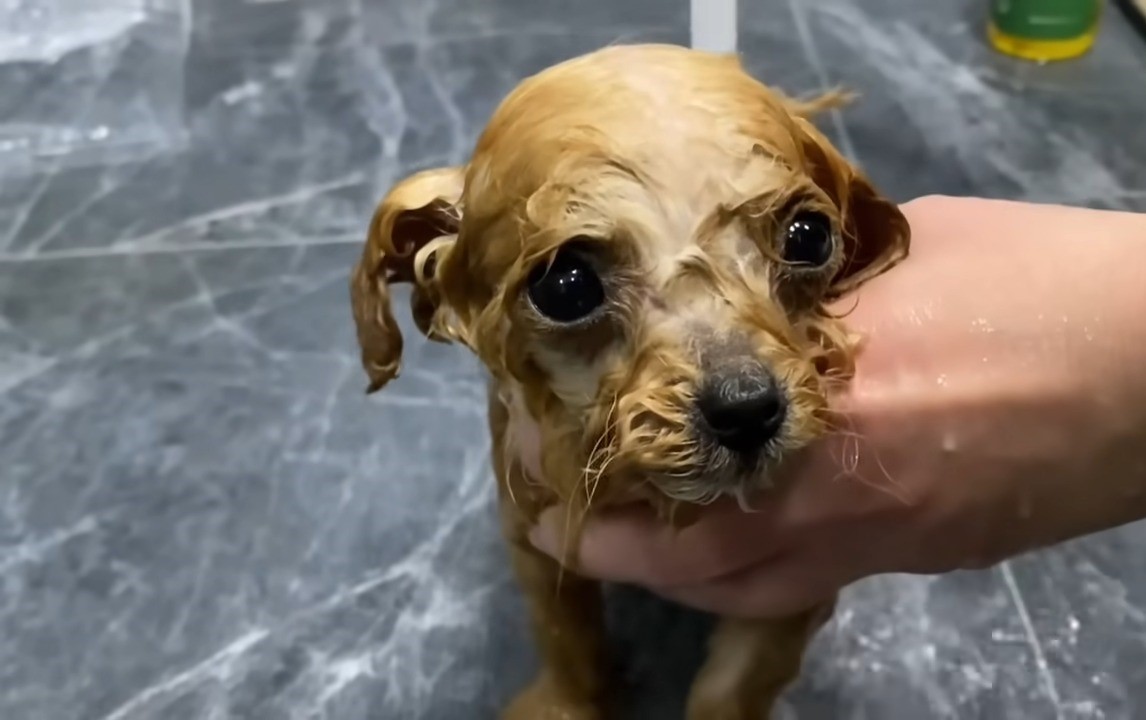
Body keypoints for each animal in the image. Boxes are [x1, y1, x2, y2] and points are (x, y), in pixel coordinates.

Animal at [352, 45, 907, 720]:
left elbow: (730, 690)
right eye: (566, 286)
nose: (747, 409)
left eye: (809, 237)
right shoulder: (534, 537)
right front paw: (568, 703)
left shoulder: (796, 586)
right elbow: (568, 642)